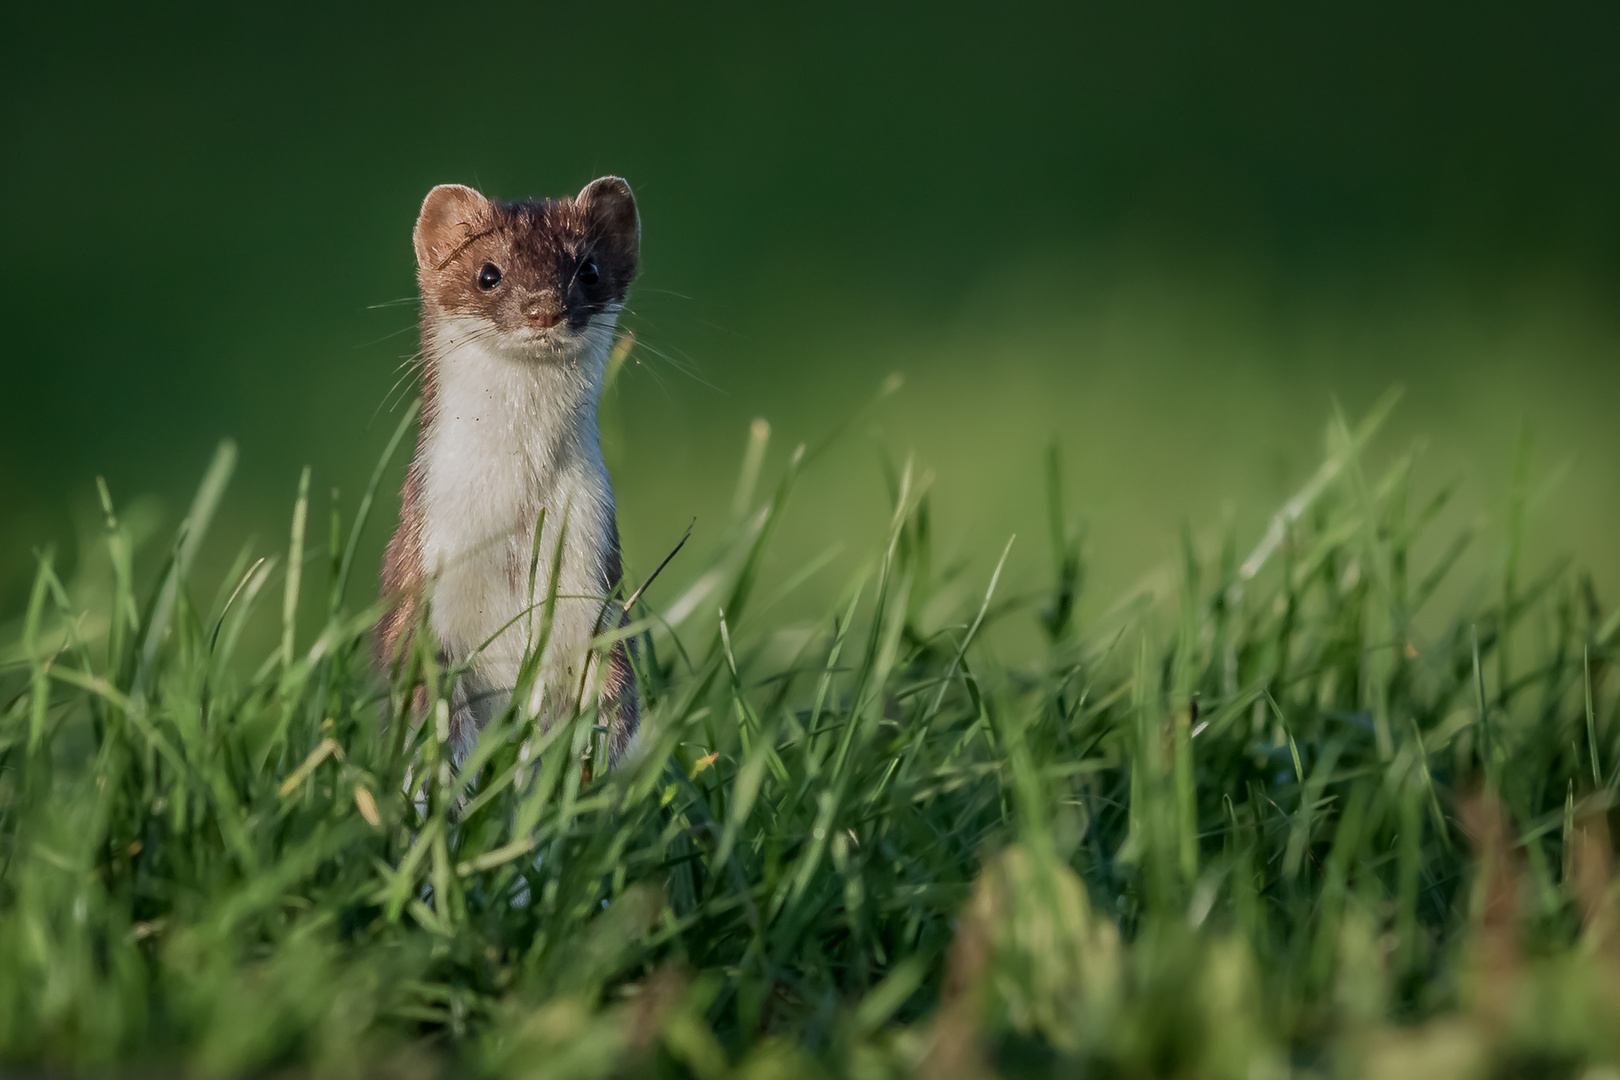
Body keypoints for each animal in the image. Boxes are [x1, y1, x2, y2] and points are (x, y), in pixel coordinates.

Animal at [377, 177, 638, 764]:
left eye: (588, 269)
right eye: (488, 272)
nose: (544, 309)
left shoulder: (594, 568)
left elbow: (614, 682)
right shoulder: (428, 569)